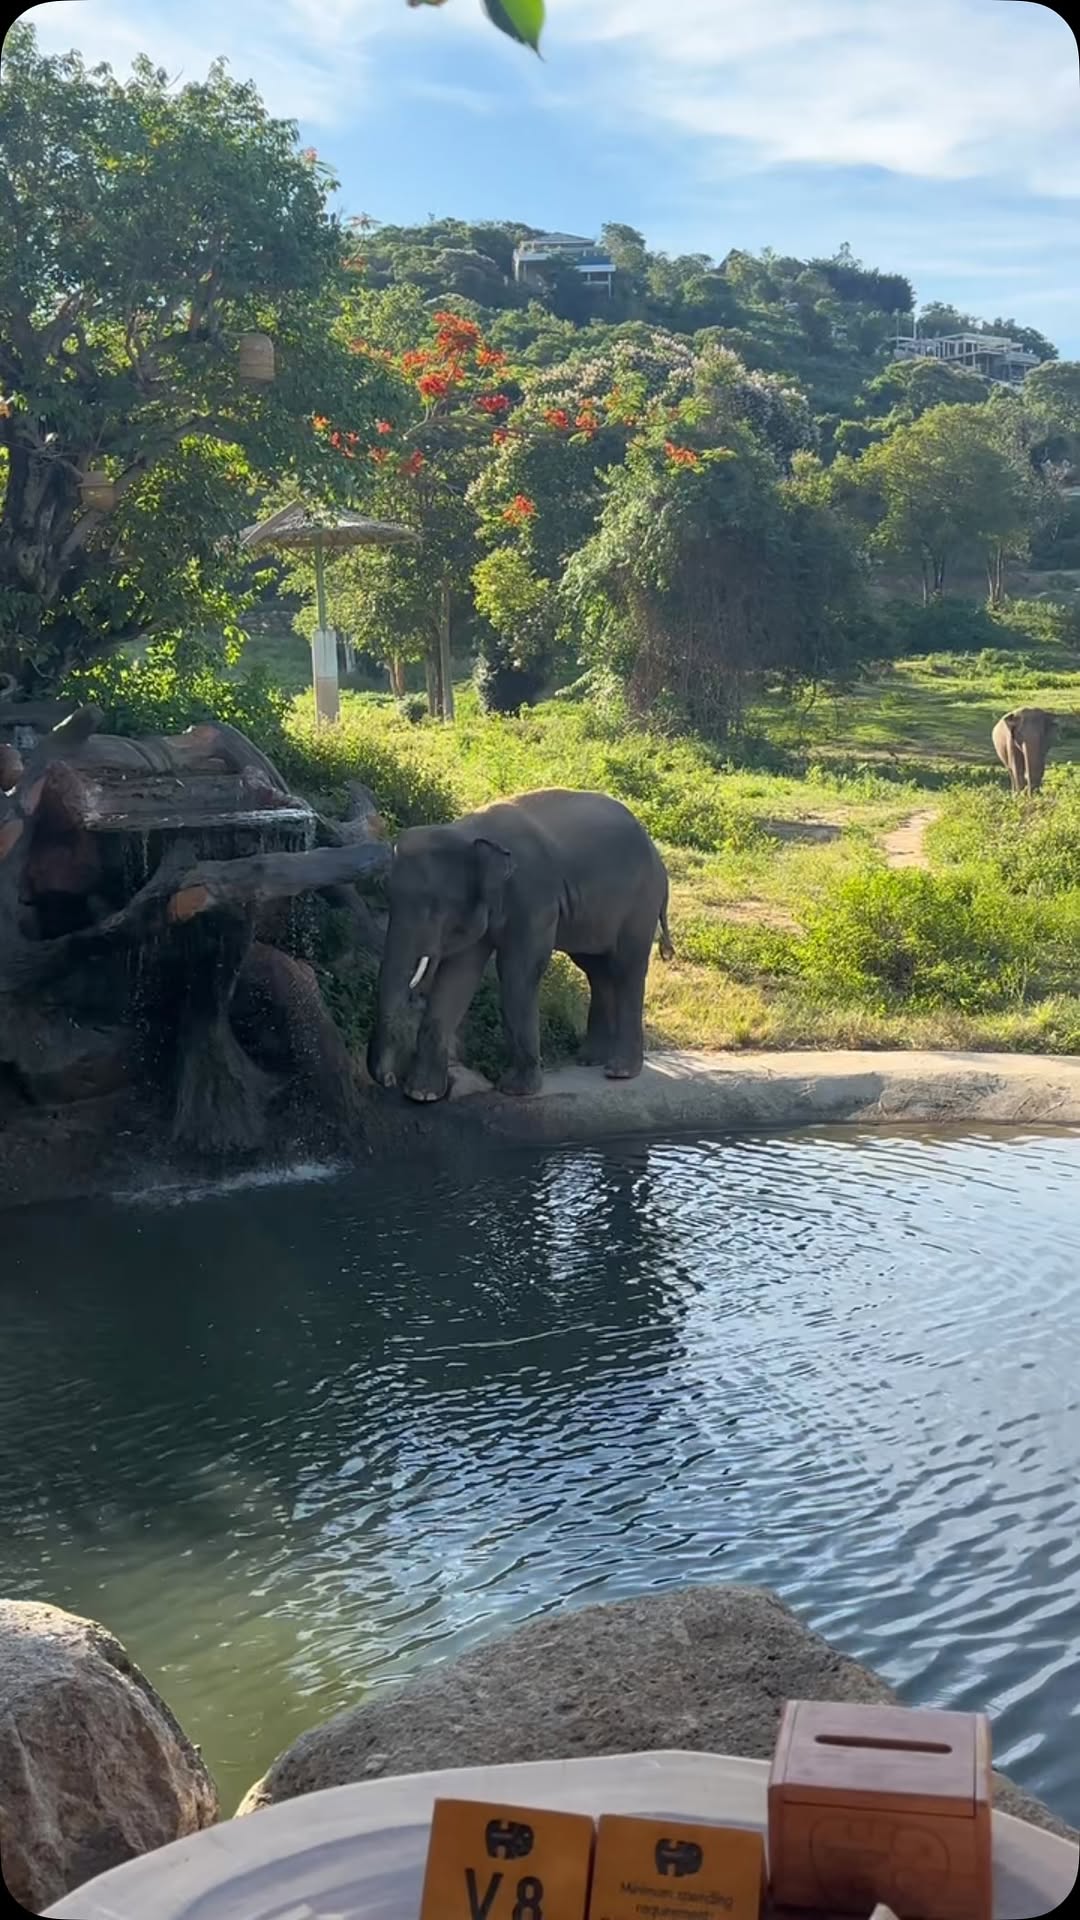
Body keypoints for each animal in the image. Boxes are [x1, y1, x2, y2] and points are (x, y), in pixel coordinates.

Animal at [368, 788, 673, 1103]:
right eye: (387, 896)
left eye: (435, 907)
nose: (389, 1079)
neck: (468, 833)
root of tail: (658, 858)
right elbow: (458, 976)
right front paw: (422, 1094)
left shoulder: (534, 900)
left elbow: (517, 971)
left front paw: (516, 1090)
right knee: (595, 968)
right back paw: (589, 1060)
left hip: (641, 904)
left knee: (626, 967)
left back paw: (619, 1071)